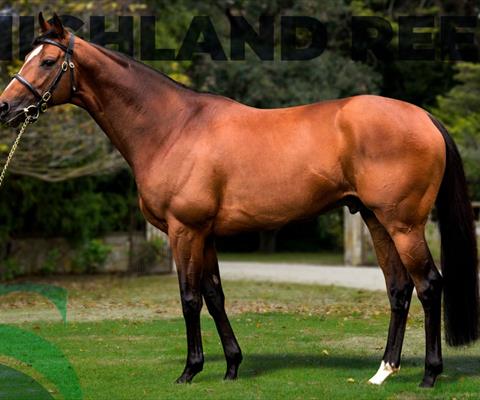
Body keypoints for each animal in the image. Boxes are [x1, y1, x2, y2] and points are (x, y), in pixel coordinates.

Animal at [0, 13, 478, 388]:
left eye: (46, 61)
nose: (5, 107)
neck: (172, 127)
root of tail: (424, 116)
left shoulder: (184, 230)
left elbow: (189, 298)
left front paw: (190, 370)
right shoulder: (206, 233)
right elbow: (215, 295)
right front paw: (231, 366)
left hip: (404, 224)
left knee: (428, 285)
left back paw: (429, 374)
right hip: (377, 220)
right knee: (399, 288)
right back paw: (383, 371)